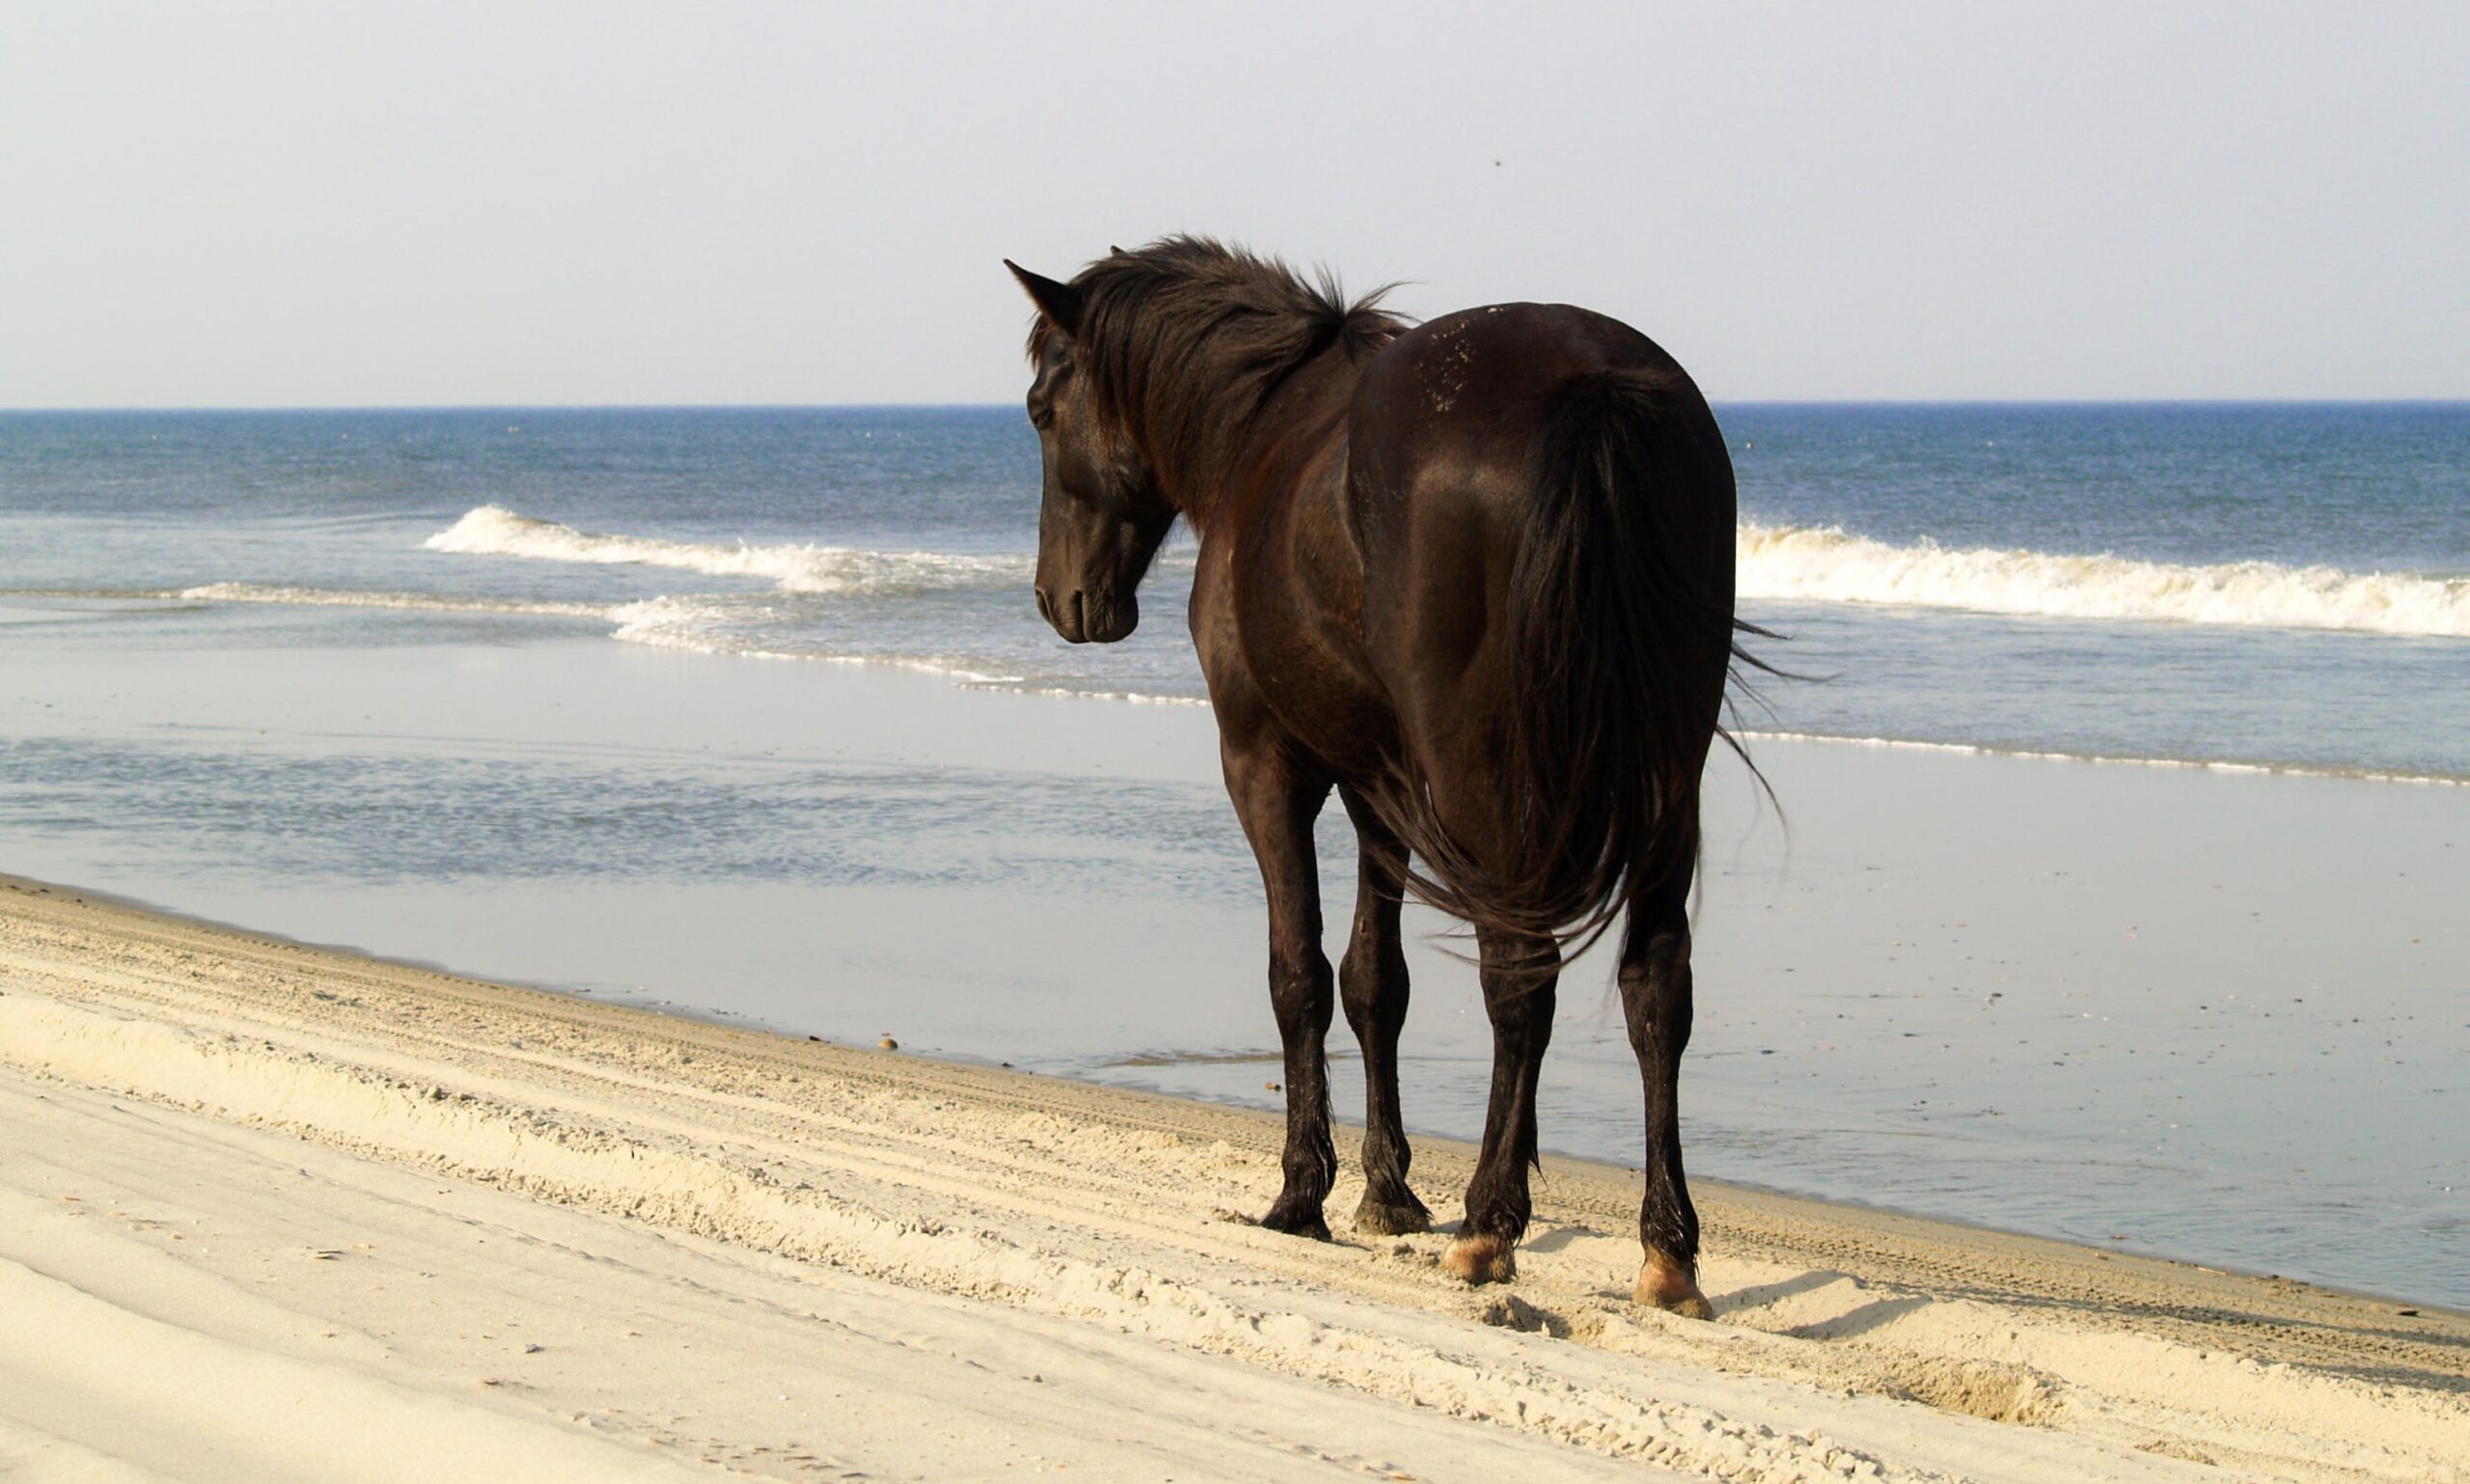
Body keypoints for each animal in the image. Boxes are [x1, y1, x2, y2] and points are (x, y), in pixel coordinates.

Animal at [1004, 237, 1751, 1317]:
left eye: (1040, 409)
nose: (1060, 600)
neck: (1259, 431)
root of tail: (1587, 382)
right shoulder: (1377, 787)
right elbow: (1373, 979)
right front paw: (1388, 1190)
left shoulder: (1265, 765)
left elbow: (1301, 974)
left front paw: (1302, 1191)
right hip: (1663, 783)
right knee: (1656, 989)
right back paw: (1666, 1250)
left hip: (1489, 778)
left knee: (1519, 980)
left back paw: (1489, 1224)